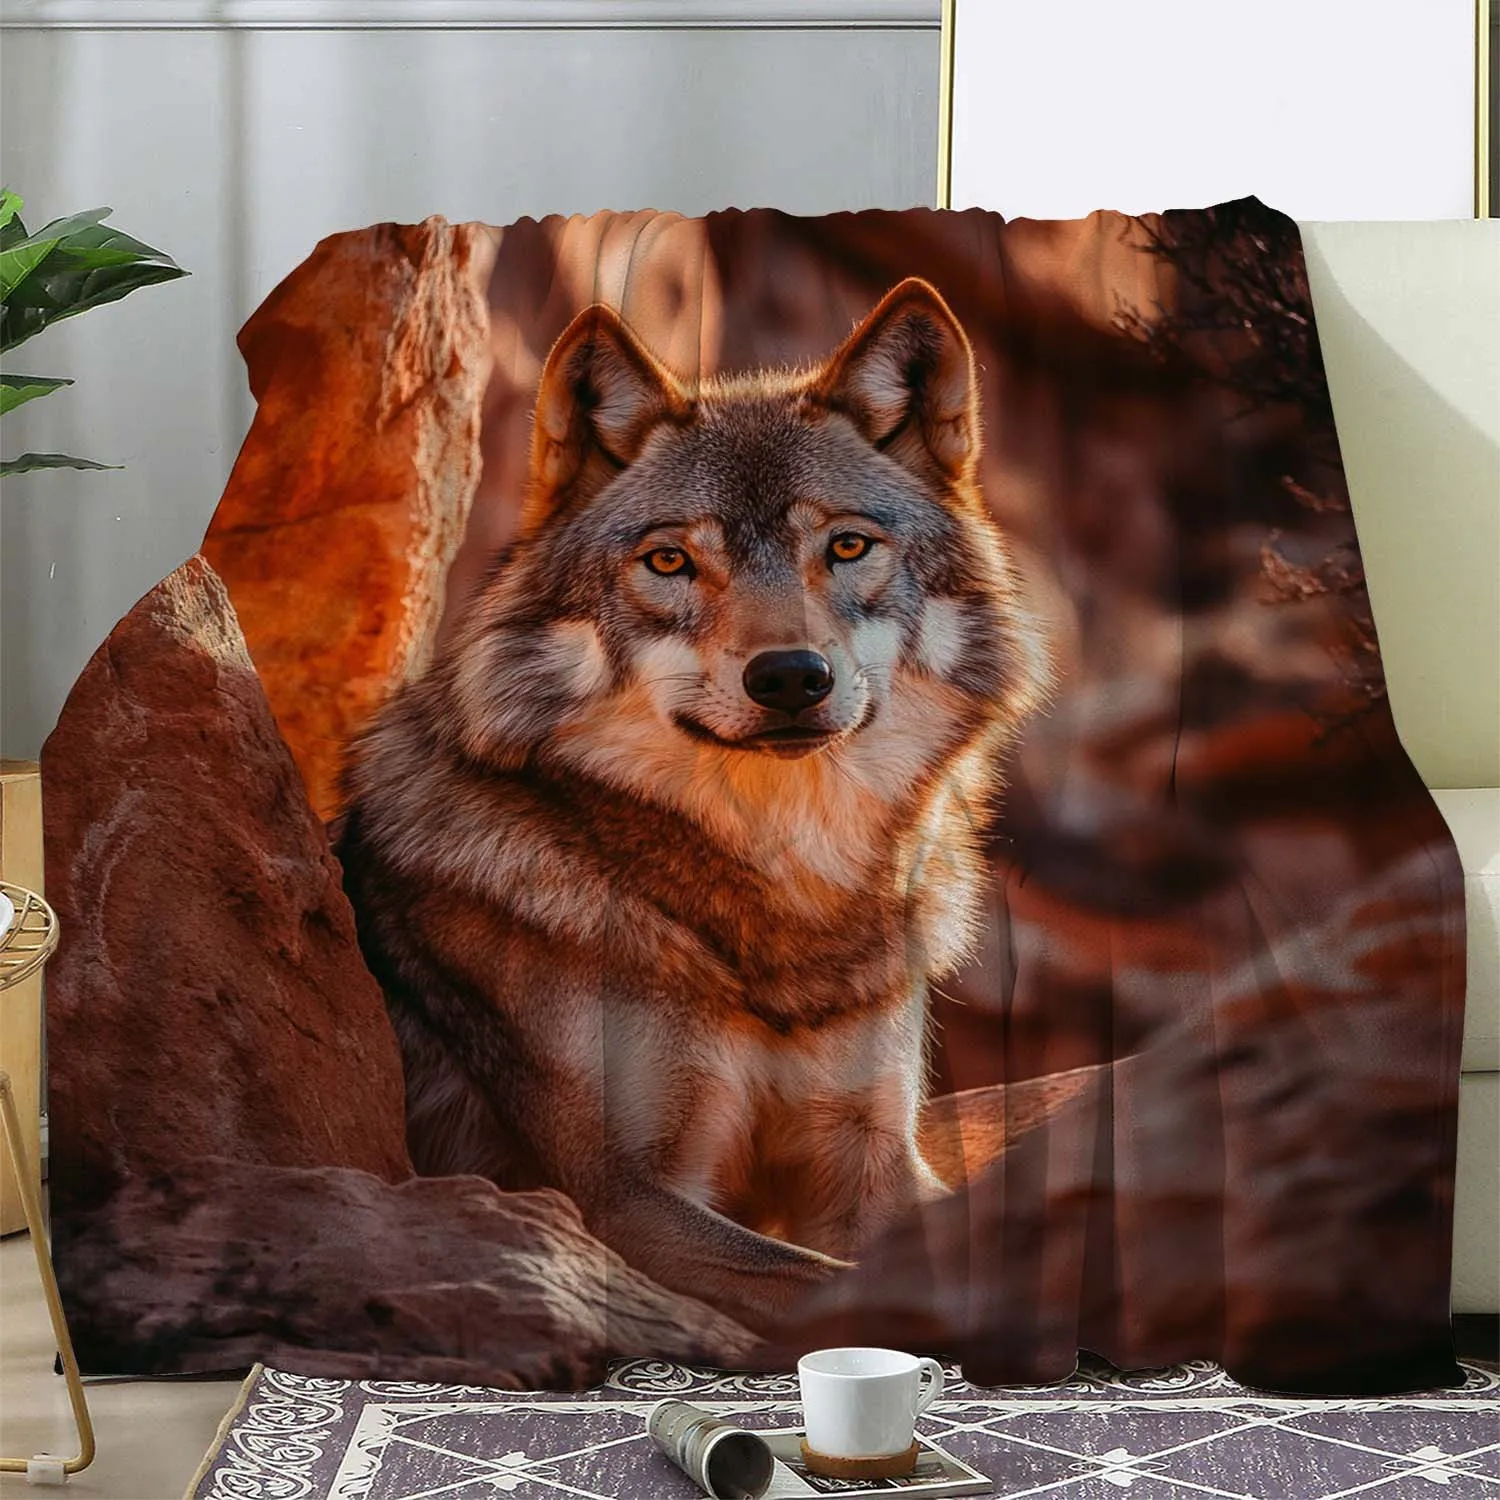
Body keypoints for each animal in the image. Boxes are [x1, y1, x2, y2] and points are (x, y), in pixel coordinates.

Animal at [337, 277, 1049, 1331]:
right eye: (671, 563)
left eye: (846, 546)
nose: (790, 677)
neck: (782, 910)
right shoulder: (617, 1204)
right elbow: (836, 1286)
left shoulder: (874, 1158)